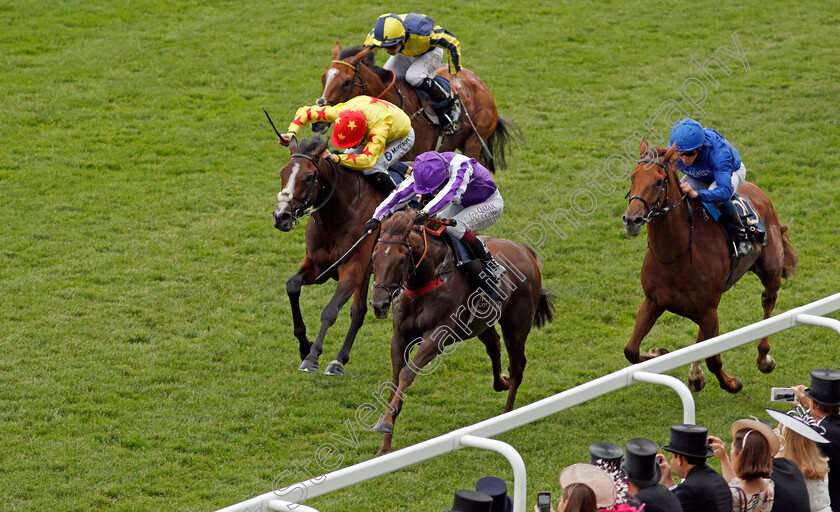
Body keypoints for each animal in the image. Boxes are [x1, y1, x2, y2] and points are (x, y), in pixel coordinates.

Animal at [272, 135, 384, 376]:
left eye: (309, 177)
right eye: (283, 172)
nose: (281, 216)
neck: (340, 213)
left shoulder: (352, 269)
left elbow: (330, 311)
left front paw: (312, 357)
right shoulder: (318, 265)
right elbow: (292, 286)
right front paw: (305, 346)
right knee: (359, 311)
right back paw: (339, 360)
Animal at [366, 210, 552, 454]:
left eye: (401, 260)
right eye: (374, 257)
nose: (379, 305)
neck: (426, 280)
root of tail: (525, 251)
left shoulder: (438, 336)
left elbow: (407, 373)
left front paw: (386, 423)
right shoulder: (400, 338)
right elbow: (396, 381)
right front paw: (385, 445)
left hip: (516, 326)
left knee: (517, 366)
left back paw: (506, 415)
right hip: (482, 323)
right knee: (494, 347)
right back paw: (501, 383)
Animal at [620, 140, 796, 392]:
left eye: (658, 181)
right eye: (633, 177)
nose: (631, 220)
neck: (676, 254)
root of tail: (757, 191)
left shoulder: (709, 310)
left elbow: (714, 359)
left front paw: (732, 383)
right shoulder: (654, 301)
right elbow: (631, 351)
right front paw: (659, 353)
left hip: (770, 270)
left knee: (768, 299)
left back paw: (764, 359)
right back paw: (695, 374)